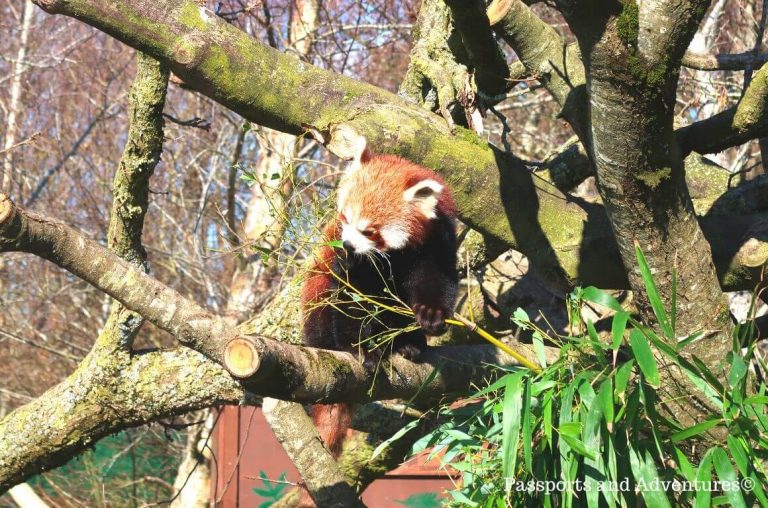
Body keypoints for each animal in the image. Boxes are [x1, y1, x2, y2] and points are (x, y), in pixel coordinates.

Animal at [298, 137, 456, 462]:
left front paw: (431, 315)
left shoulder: (436, 243)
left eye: (369, 230)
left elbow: (436, 281)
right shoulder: (349, 265)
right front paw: (360, 348)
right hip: (316, 308)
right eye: (345, 218)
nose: (347, 243)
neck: (396, 255)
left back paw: (409, 344)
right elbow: (352, 300)